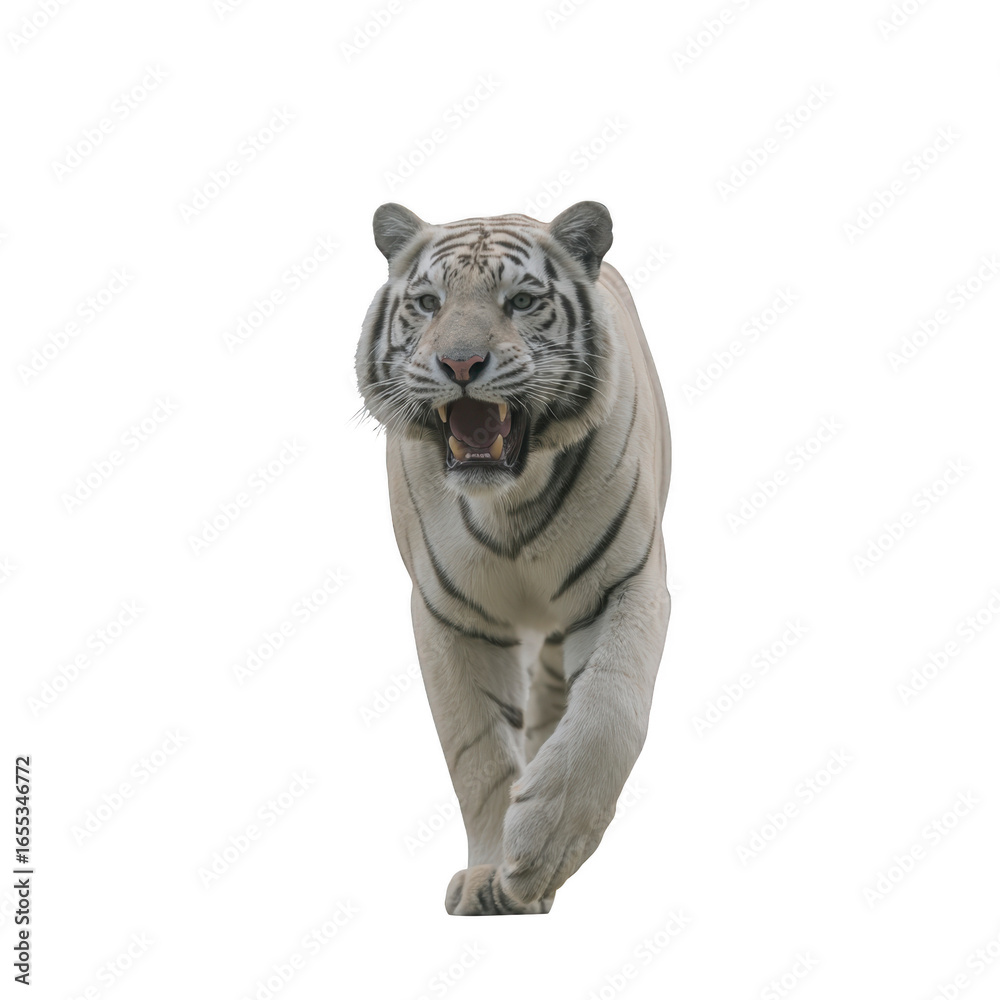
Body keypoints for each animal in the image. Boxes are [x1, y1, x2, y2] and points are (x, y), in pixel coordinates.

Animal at [355, 200, 671, 915]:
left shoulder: (626, 583)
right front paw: (488, 878)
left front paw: (539, 853)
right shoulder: (450, 617)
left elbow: (606, 713)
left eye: (522, 301)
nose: (460, 363)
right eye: (428, 302)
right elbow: (477, 753)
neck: (508, 501)